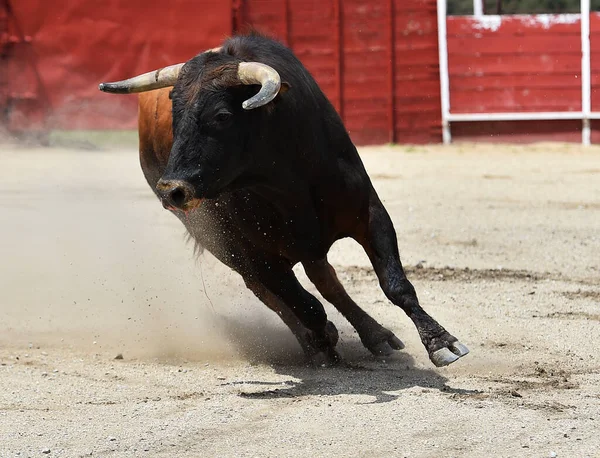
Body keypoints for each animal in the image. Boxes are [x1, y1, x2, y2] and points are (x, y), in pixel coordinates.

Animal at [97, 34, 468, 366]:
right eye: (175, 113)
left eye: (222, 115)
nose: (171, 190)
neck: (288, 184)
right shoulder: (251, 251)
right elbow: (304, 304)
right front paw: (321, 339)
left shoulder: (371, 214)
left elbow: (396, 284)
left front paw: (440, 342)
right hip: (218, 241)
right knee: (268, 290)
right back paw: (317, 341)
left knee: (323, 278)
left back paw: (376, 336)